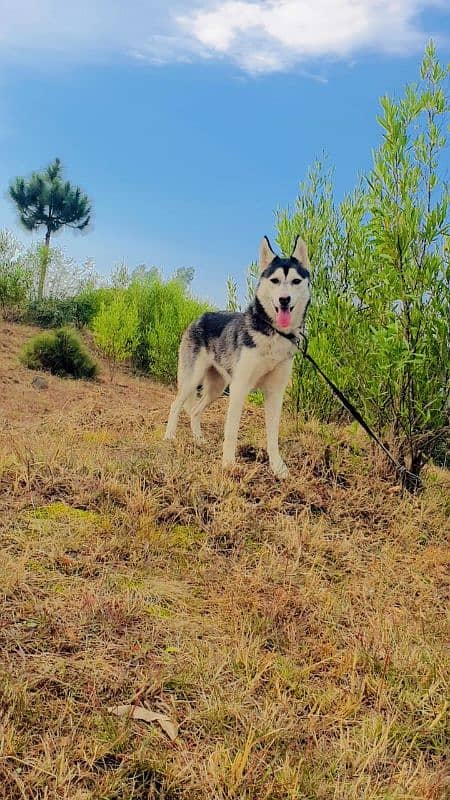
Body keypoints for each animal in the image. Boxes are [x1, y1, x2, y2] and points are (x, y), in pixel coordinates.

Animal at [163, 234, 312, 478]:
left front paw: (278, 468)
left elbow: (273, 436)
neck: (273, 334)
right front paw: (228, 465)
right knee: (176, 405)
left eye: (296, 281)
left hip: (216, 388)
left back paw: (199, 439)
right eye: (275, 280)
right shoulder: (240, 388)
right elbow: (231, 431)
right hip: (192, 380)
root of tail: (200, 316)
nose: (284, 299)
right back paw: (169, 437)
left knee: (195, 411)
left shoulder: (275, 394)